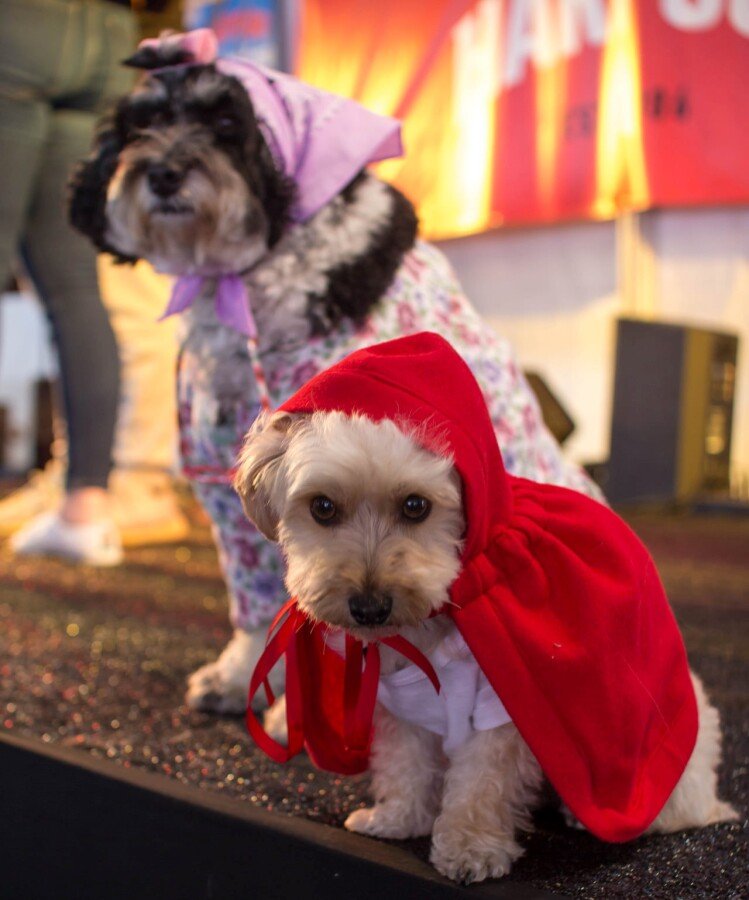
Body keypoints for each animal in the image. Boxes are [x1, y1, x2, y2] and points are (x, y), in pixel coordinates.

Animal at [238, 410, 736, 884]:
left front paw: (469, 849)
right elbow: (405, 763)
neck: (428, 626)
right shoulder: (402, 706)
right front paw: (399, 818)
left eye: (415, 506)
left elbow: (482, 784)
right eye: (322, 507)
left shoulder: (500, 711)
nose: (369, 607)